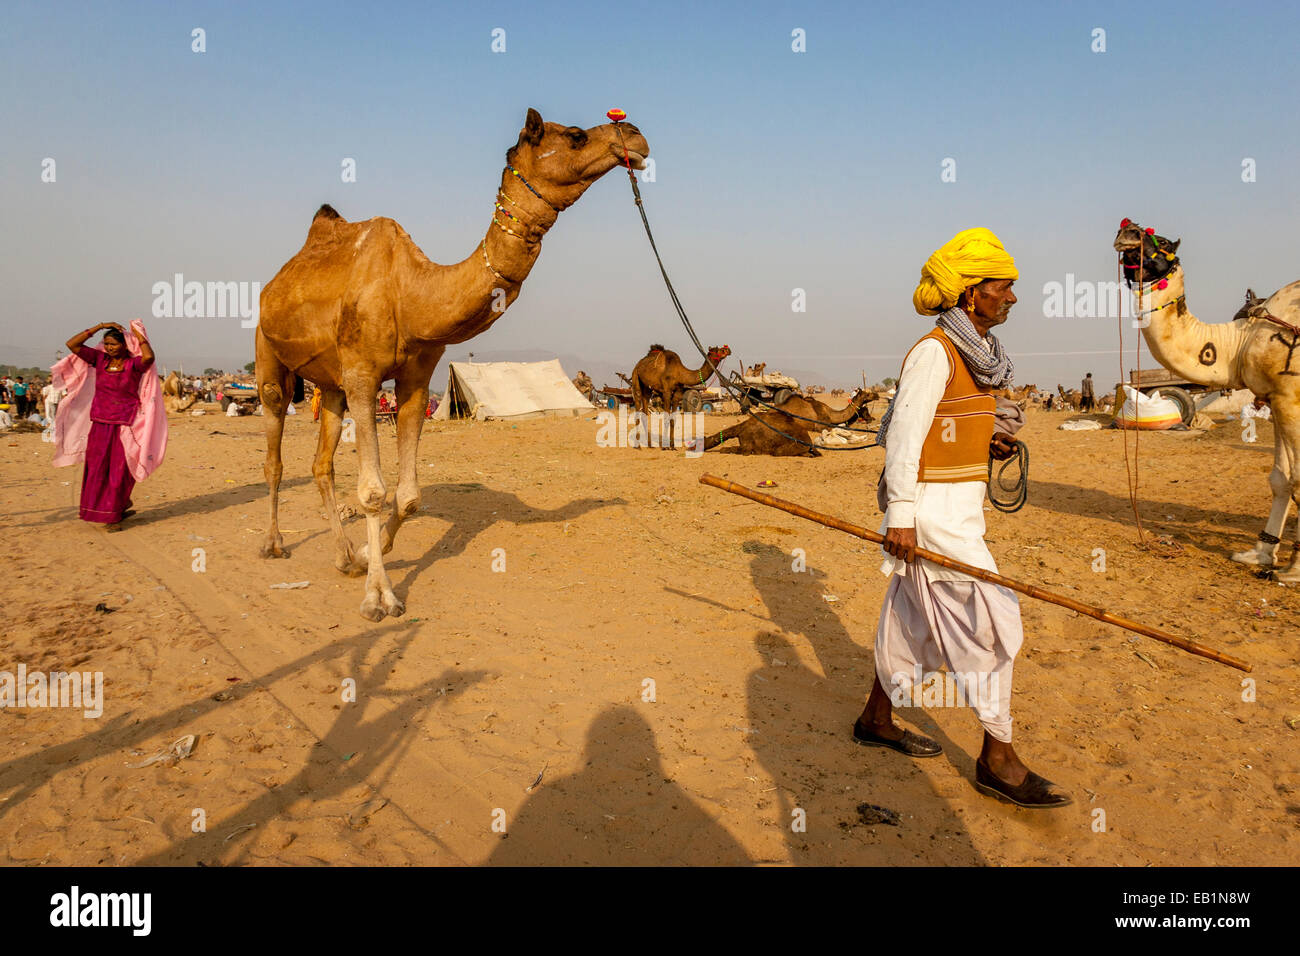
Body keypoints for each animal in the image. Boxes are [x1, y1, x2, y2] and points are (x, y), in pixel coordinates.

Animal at [254, 110, 650, 621]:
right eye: (576, 136)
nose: (634, 135)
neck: (412, 293)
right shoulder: (362, 375)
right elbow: (373, 492)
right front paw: (379, 597)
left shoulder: (416, 381)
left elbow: (408, 496)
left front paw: (366, 555)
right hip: (269, 353)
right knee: (275, 452)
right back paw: (273, 543)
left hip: (331, 384)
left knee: (322, 465)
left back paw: (343, 556)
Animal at [1107, 221, 1300, 580]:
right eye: (1131, 230)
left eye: (1161, 239)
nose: (1128, 230)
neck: (1239, 339)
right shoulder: (1275, 397)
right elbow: (1281, 478)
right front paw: (1259, 555)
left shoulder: (1291, 396)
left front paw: (1293, 569)